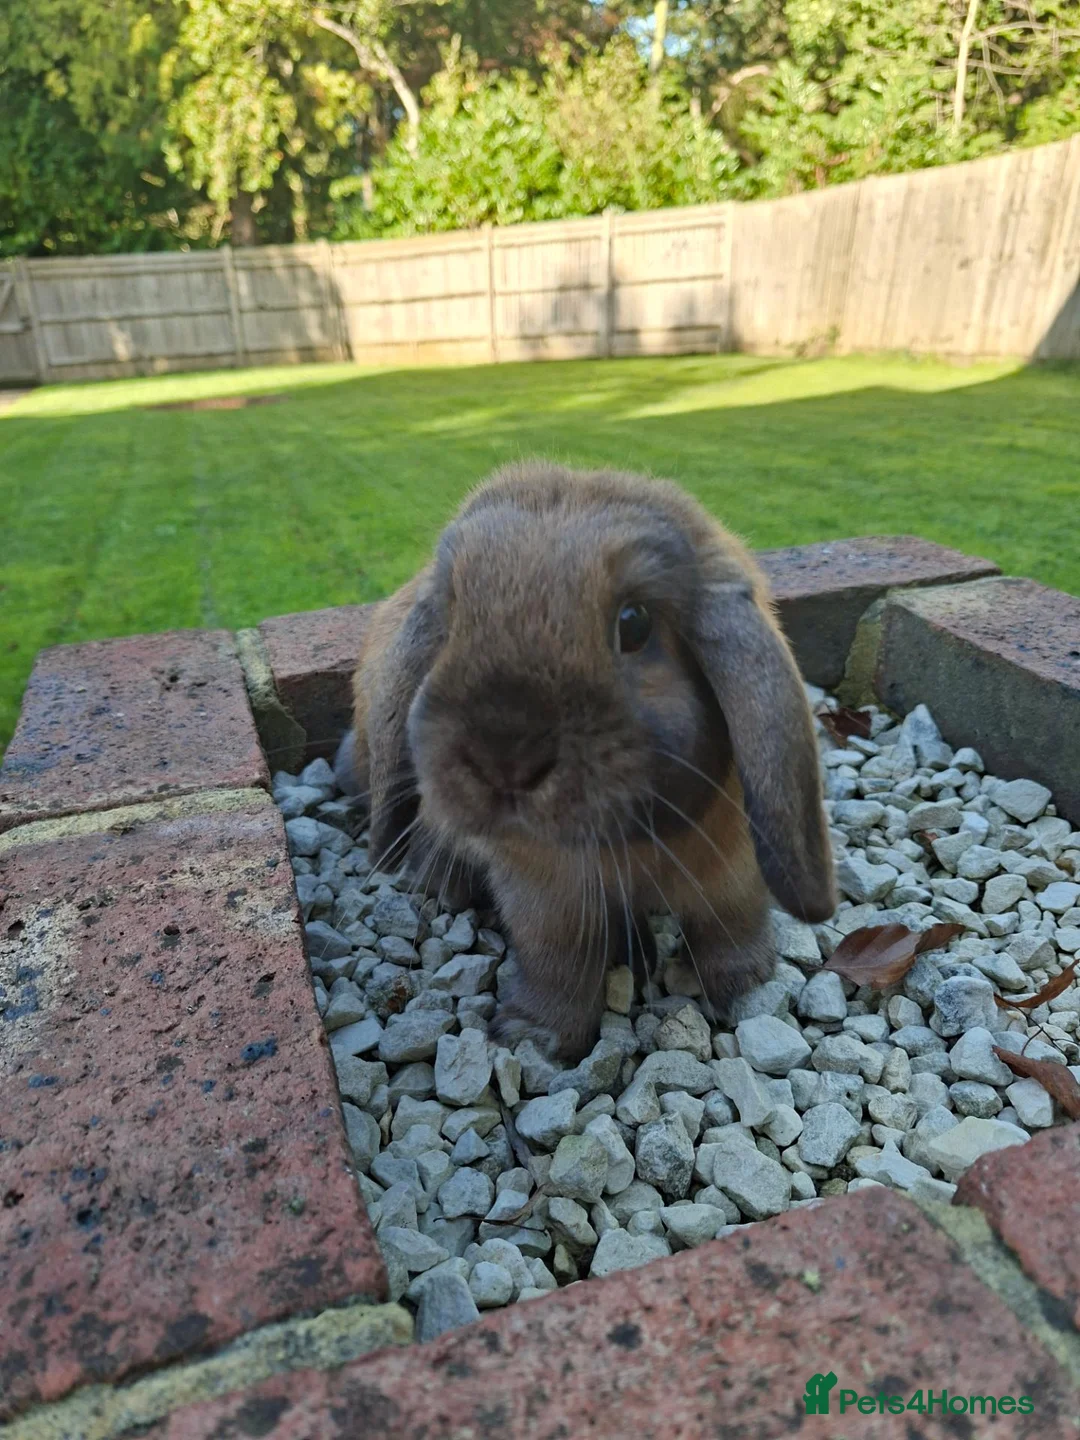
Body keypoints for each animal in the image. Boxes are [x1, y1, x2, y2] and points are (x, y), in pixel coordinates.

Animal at [335, 460, 836, 1059]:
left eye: (635, 622)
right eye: (453, 619)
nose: (505, 759)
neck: (631, 843)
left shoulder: (735, 868)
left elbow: (732, 924)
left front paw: (747, 985)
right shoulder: (545, 899)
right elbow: (560, 961)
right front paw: (537, 1038)